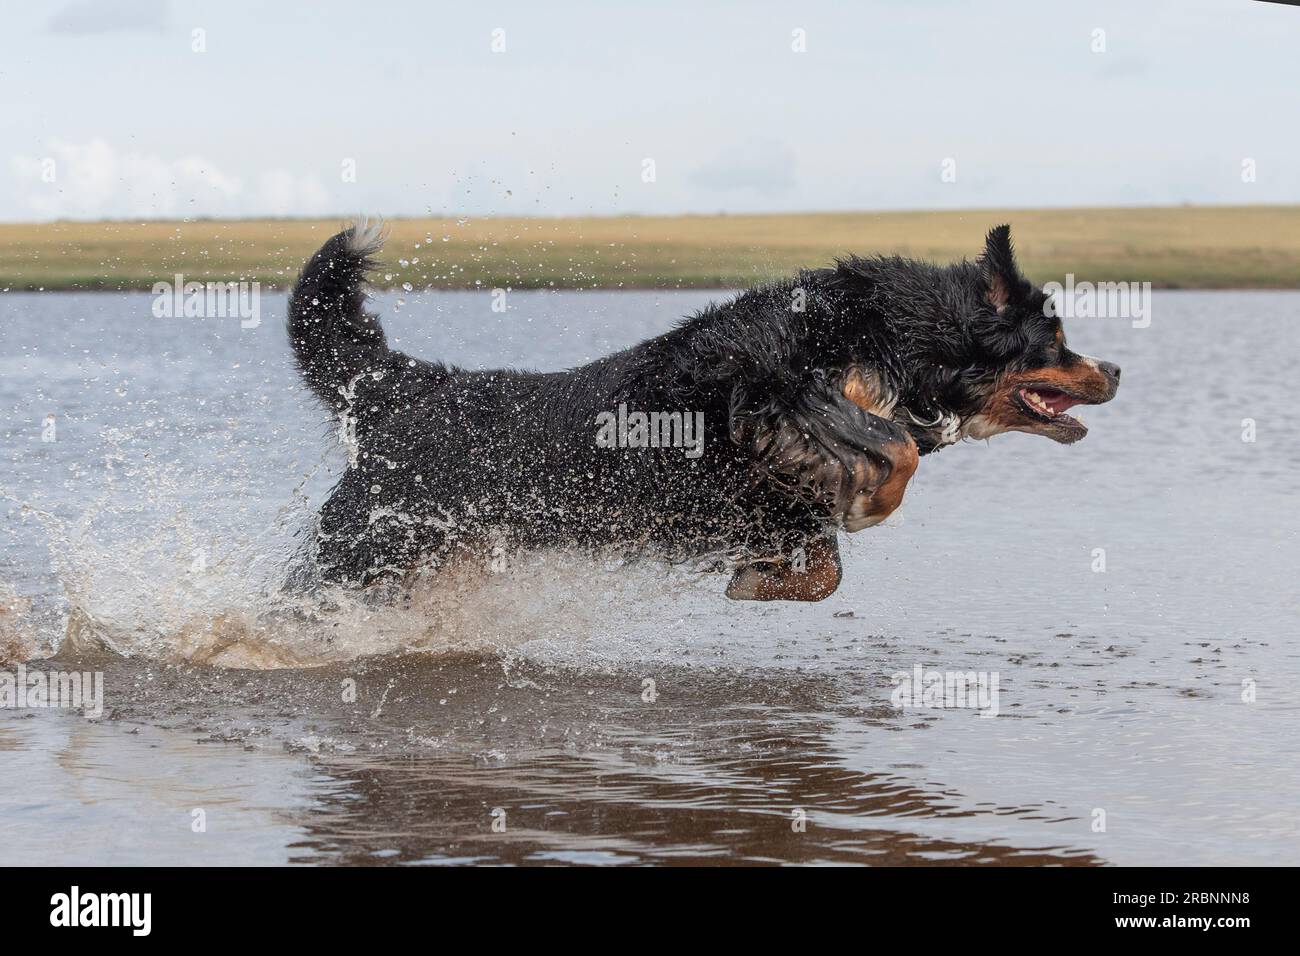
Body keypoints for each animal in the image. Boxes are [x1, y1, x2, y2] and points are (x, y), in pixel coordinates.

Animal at [289, 221, 1123, 600]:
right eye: (1055, 338)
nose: (1115, 368)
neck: (893, 335)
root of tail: (408, 387)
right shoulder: (769, 387)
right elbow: (894, 450)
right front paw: (869, 502)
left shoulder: (778, 501)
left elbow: (824, 571)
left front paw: (757, 579)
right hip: (360, 553)